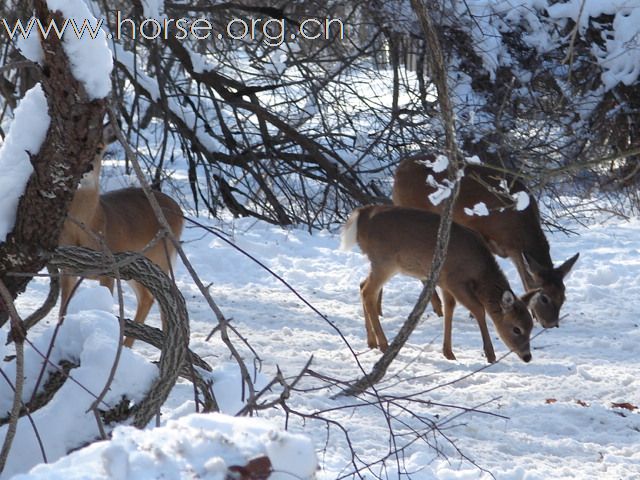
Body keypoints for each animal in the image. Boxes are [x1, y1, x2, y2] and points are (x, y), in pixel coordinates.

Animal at [58, 124, 184, 346]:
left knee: (165, 302)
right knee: (148, 298)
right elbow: (62, 312)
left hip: (160, 256)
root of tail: (180, 211)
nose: (87, 167)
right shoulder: (67, 268)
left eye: (99, 148)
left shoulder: (109, 269)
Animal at [342, 203, 536, 364]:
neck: (479, 270)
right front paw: (490, 355)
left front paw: (448, 352)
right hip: (385, 261)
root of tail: (361, 215)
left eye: (531, 327)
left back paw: (372, 342)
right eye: (516, 329)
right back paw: (383, 344)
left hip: (380, 263)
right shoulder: (455, 281)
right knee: (368, 291)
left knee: (363, 286)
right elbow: (479, 310)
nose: (527, 357)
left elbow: (449, 308)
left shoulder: (444, 282)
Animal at [390, 156, 580, 328]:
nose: (552, 323)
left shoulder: (513, 248)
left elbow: (525, 277)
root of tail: (399, 169)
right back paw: (437, 308)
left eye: (563, 296)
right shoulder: (479, 231)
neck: (517, 222)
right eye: (545, 298)